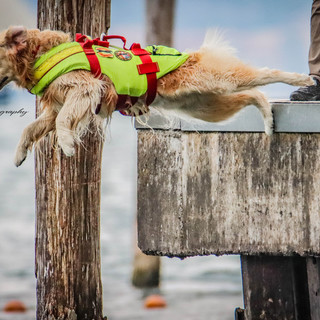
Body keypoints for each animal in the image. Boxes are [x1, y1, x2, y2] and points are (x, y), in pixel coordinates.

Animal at [0, 26, 312, 166]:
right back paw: (268, 120)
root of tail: (191, 54)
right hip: (206, 106)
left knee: (264, 74)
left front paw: (66, 144)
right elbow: (32, 127)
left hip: (218, 78)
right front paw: (19, 154)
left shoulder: (86, 90)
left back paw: (301, 79)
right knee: (254, 95)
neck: (39, 54)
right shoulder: (57, 105)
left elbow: (64, 121)